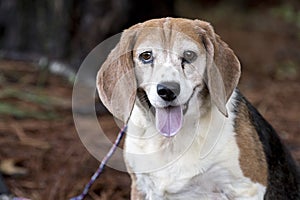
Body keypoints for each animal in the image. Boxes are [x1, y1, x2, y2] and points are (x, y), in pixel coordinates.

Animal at [97, 18, 298, 199]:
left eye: (189, 55)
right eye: (146, 56)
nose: (168, 90)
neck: (172, 141)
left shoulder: (245, 188)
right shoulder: (141, 187)